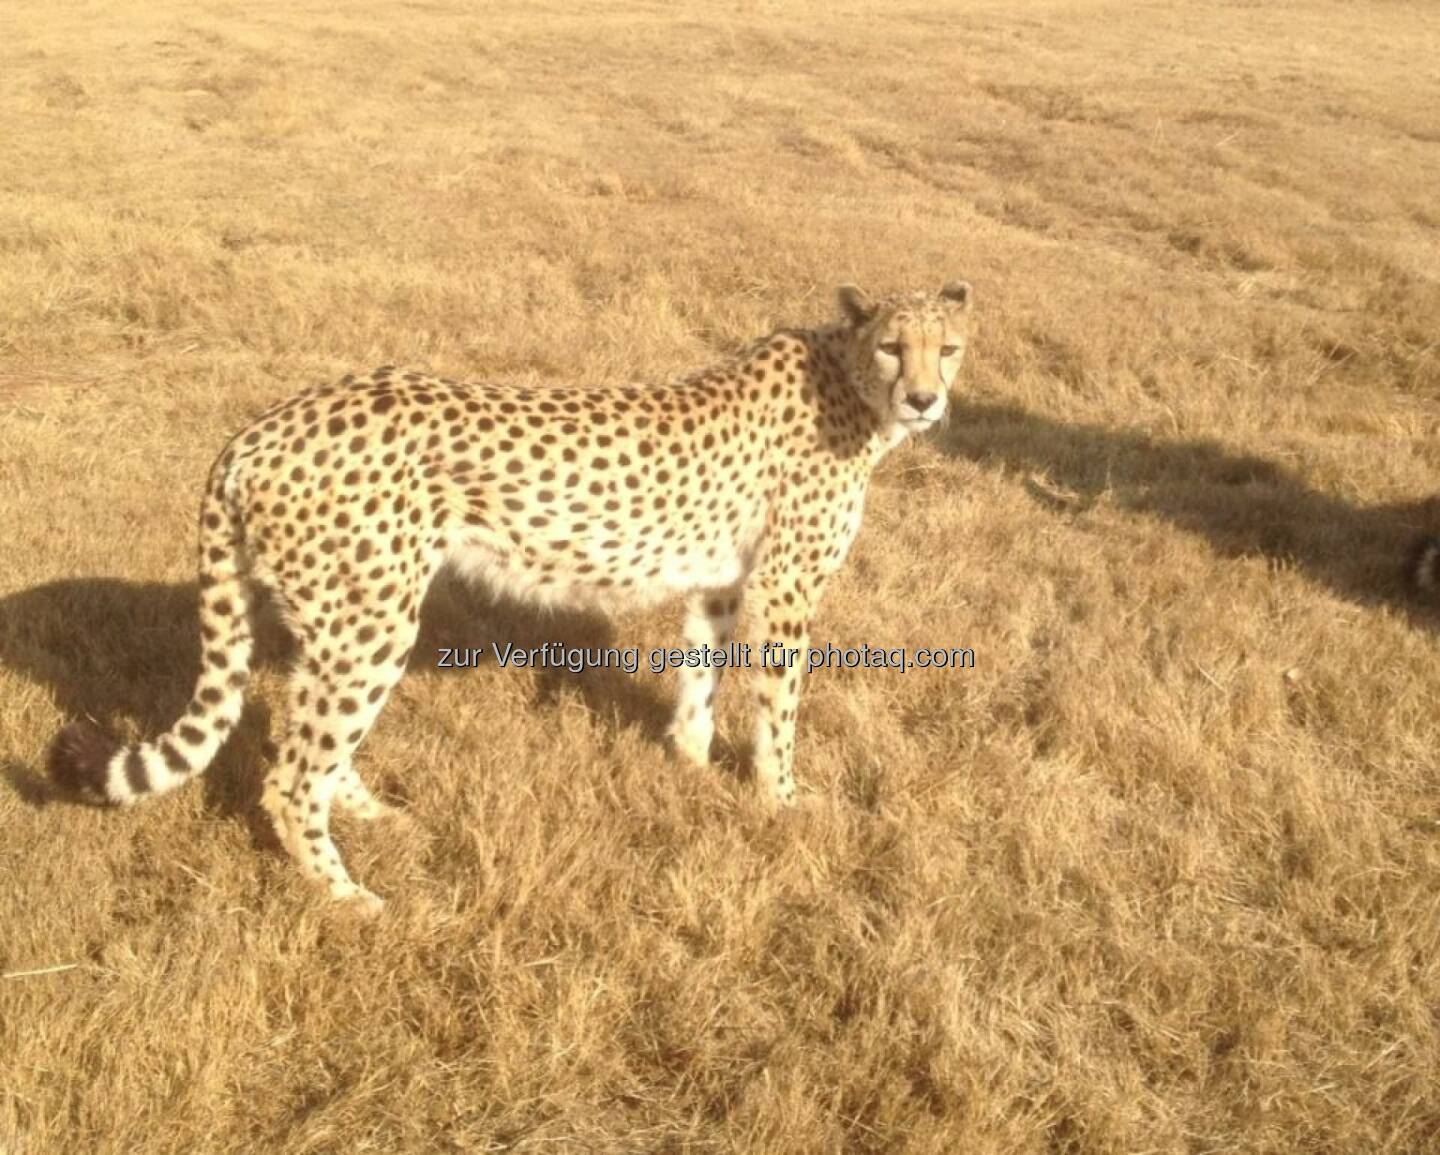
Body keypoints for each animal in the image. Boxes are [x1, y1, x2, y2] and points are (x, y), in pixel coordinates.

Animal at [45, 280, 973, 910]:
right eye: (895, 345)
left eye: (951, 348)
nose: (927, 399)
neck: (846, 382)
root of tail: (259, 427)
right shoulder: (783, 589)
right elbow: (779, 708)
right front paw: (781, 801)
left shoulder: (720, 578)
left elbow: (699, 681)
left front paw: (690, 764)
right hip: (375, 618)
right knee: (293, 774)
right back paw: (349, 897)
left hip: (334, 616)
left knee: (306, 740)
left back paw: (373, 815)